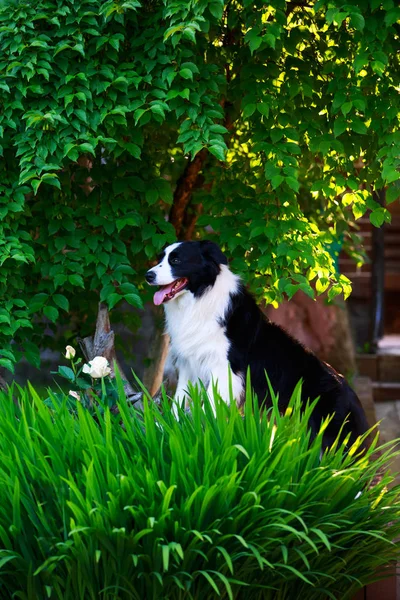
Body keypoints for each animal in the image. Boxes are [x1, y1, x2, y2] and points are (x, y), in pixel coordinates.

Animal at [145, 241, 370, 448]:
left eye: (176, 260)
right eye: (160, 258)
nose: (148, 276)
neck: (200, 298)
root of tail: (355, 400)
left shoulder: (224, 370)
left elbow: (209, 407)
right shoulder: (189, 366)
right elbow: (179, 402)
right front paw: (167, 429)